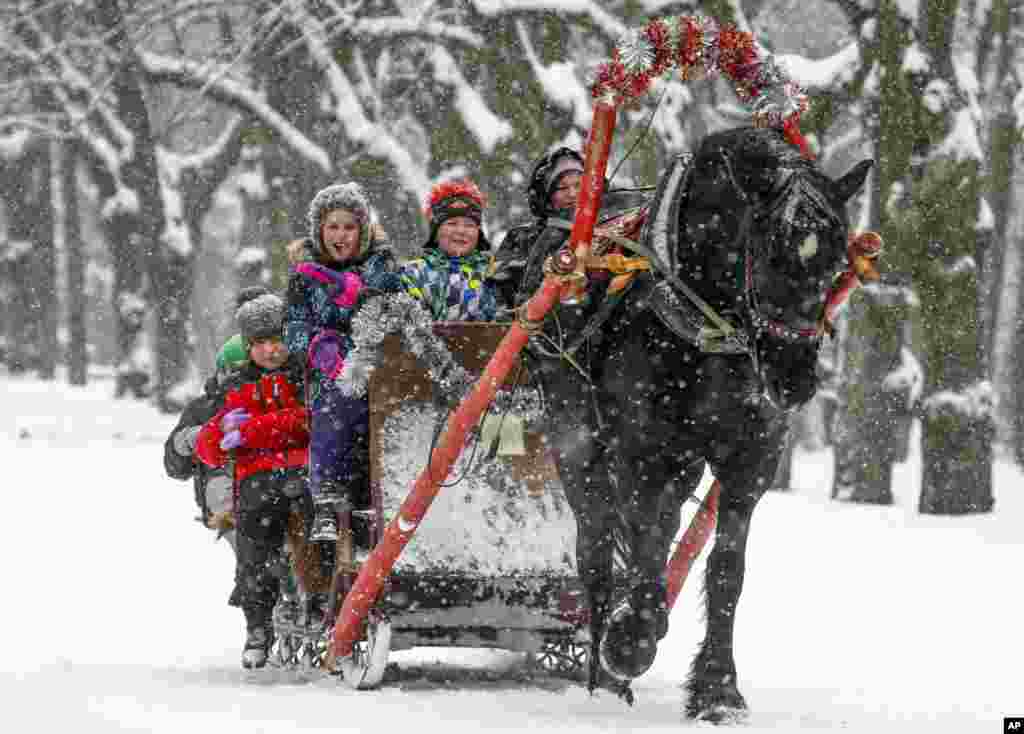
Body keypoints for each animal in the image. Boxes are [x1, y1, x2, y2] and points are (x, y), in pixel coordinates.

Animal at [528, 125, 872, 720]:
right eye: (770, 252)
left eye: (836, 265)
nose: (793, 379)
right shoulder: (644, 455)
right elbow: (640, 548)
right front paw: (631, 641)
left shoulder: (751, 461)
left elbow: (725, 571)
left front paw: (718, 688)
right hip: (576, 443)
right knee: (596, 546)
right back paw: (602, 667)